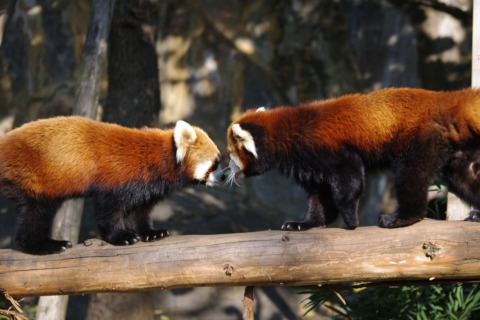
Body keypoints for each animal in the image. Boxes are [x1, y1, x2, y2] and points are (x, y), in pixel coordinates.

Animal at [0, 116, 225, 254]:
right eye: (215, 164)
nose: (223, 177)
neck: (157, 160)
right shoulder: (116, 179)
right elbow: (108, 211)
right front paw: (121, 237)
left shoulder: (145, 187)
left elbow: (140, 212)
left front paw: (151, 232)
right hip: (34, 176)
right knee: (37, 212)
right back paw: (44, 245)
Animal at [227, 87, 480, 230]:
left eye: (230, 156)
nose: (224, 172)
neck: (287, 134)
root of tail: (445, 101)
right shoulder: (310, 165)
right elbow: (320, 194)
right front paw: (306, 223)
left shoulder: (328, 149)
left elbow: (350, 179)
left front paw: (350, 219)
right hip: (453, 152)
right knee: (466, 177)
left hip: (420, 139)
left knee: (411, 176)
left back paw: (402, 217)